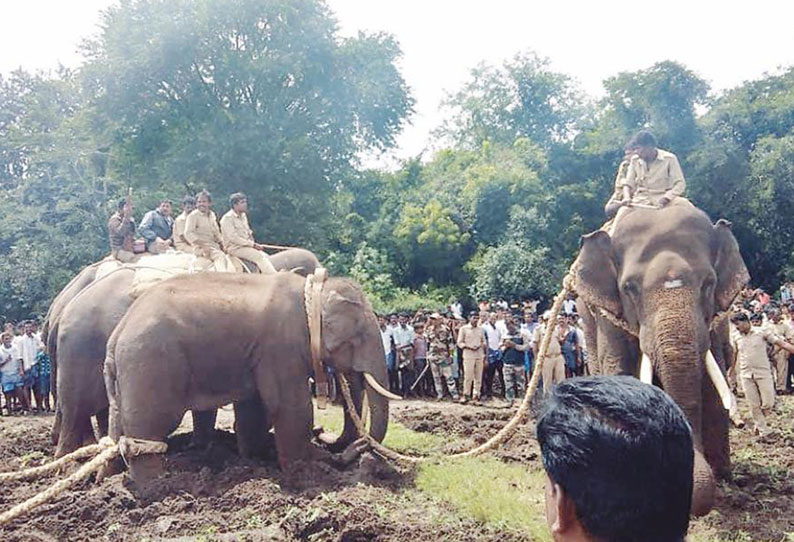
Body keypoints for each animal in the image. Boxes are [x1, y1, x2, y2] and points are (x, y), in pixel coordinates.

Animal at [51, 250, 322, 460]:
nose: (320, 429)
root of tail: (63, 308)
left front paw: (204, 448)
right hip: (81, 350)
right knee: (76, 409)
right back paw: (68, 458)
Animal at [104, 274, 390, 486]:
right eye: (360, 336)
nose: (352, 451)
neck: (311, 293)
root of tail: (118, 332)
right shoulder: (280, 347)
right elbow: (291, 408)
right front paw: (304, 470)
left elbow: (254, 408)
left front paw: (252, 460)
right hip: (150, 365)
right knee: (149, 427)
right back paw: (154, 487)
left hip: (128, 375)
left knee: (117, 427)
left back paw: (109, 478)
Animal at [572, 201, 744, 520]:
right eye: (629, 288)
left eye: (709, 283)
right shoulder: (607, 317)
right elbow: (620, 372)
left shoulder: (714, 321)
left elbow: (712, 385)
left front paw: (723, 479)